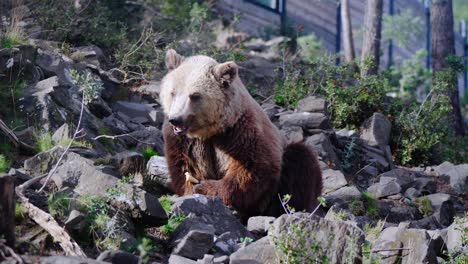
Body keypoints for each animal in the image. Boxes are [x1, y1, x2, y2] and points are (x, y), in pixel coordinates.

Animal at [160, 49, 322, 219]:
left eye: (194, 96)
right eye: (173, 92)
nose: (176, 119)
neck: (209, 131)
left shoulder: (239, 130)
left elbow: (253, 167)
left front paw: (205, 187)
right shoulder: (184, 141)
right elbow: (185, 166)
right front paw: (192, 188)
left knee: (301, 160)